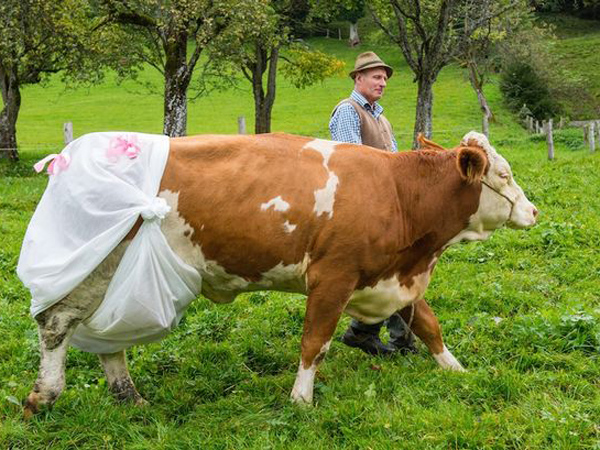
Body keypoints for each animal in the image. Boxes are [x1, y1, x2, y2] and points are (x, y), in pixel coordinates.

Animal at [24, 130, 540, 414]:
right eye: (506, 175)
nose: (533, 211)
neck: (396, 191)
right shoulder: (333, 276)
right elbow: (315, 342)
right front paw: (301, 400)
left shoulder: (392, 274)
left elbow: (429, 324)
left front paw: (456, 369)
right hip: (99, 264)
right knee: (57, 323)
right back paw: (45, 395)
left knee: (108, 337)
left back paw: (128, 397)